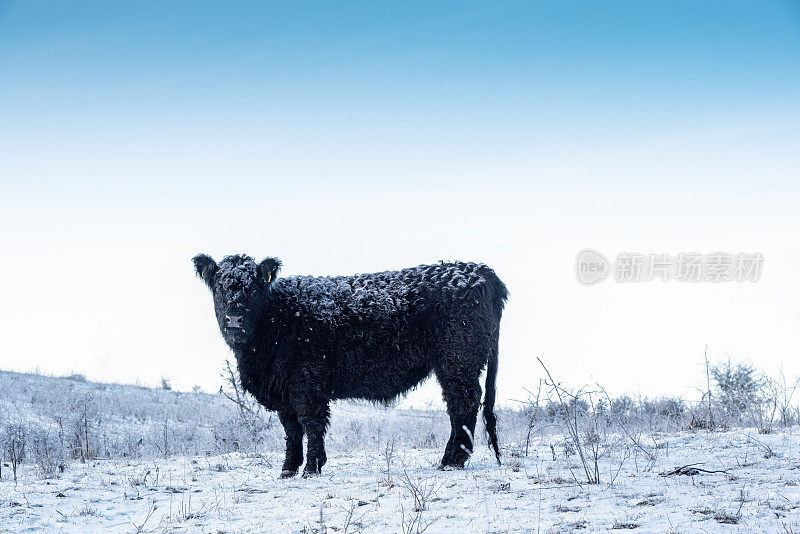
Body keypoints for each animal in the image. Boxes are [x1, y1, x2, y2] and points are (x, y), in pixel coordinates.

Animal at [191, 258, 510, 480]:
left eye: (253, 287)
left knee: (463, 405)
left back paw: (454, 461)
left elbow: (310, 423)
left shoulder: (307, 383)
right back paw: (446, 460)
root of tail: (477, 269)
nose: (234, 319)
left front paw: (311, 468)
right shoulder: (283, 389)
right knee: (459, 408)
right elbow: (291, 429)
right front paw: (288, 469)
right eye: (219, 287)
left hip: (457, 361)